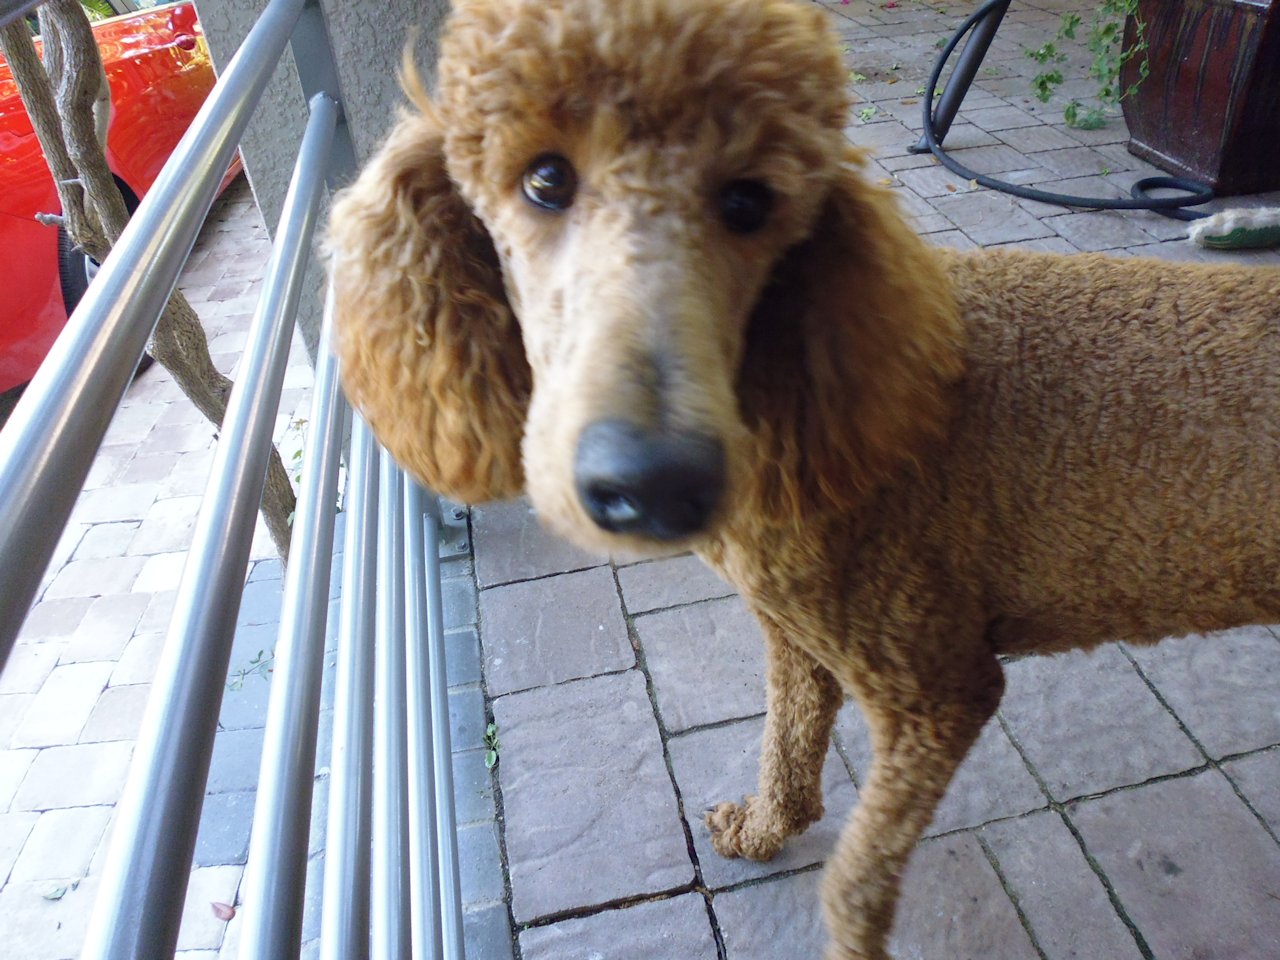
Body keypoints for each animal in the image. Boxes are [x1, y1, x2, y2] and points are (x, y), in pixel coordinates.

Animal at [324, 1, 1280, 956]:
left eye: (751, 202)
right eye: (545, 178)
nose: (657, 481)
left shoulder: (937, 690)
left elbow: (854, 881)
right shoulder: (800, 636)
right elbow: (786, 745)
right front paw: (761, 830)